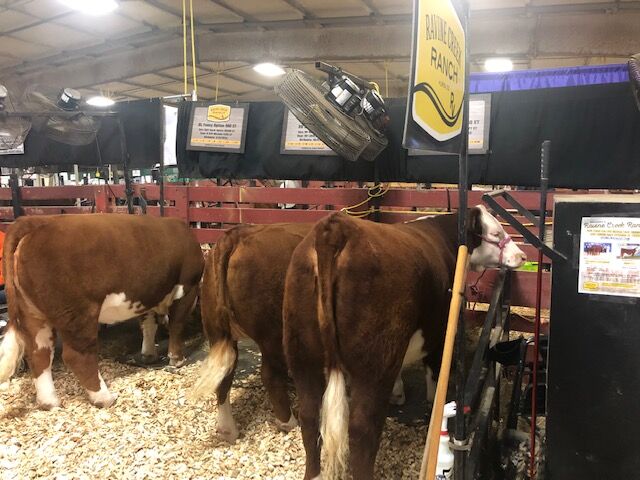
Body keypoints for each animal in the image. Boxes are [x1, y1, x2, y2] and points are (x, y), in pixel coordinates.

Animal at [0, 214, 204, 409]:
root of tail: (35, 222)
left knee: (39, 354)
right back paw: (104, 398)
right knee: (77, 356)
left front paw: (148, 353)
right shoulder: (187, 289)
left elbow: (148, 325)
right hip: (79, 314)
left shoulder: (148, 295)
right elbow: (177, 325)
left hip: (34, 315)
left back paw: (50, 402)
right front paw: (177, 359)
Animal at [283, 206, 527, 480]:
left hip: (302, 353)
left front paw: (398, 392)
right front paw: (434, 401)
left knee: (310, 414)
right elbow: (434, 371)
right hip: (373, 361)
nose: (521, 255)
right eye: (496, 232)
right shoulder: (438, 329)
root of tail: (336, 228)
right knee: (362, 428)